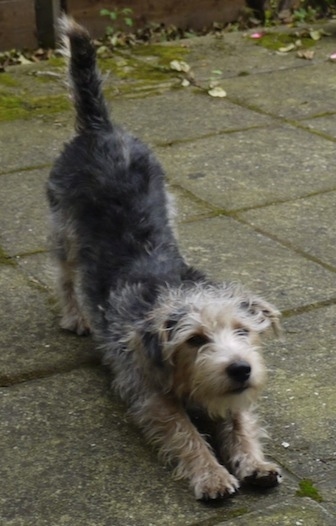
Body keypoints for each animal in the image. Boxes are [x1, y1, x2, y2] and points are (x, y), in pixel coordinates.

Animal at [47, 15, 282, 504]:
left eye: (243, 331)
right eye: (194, 340)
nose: (241, 367)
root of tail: (99, 128)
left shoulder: (232, 396)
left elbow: (241, 421)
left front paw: (254, 462)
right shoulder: (148, 393)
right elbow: (183, 432)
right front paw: (210, 474)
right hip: (64, 229)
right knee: (63, 274)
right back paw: (75, 316)